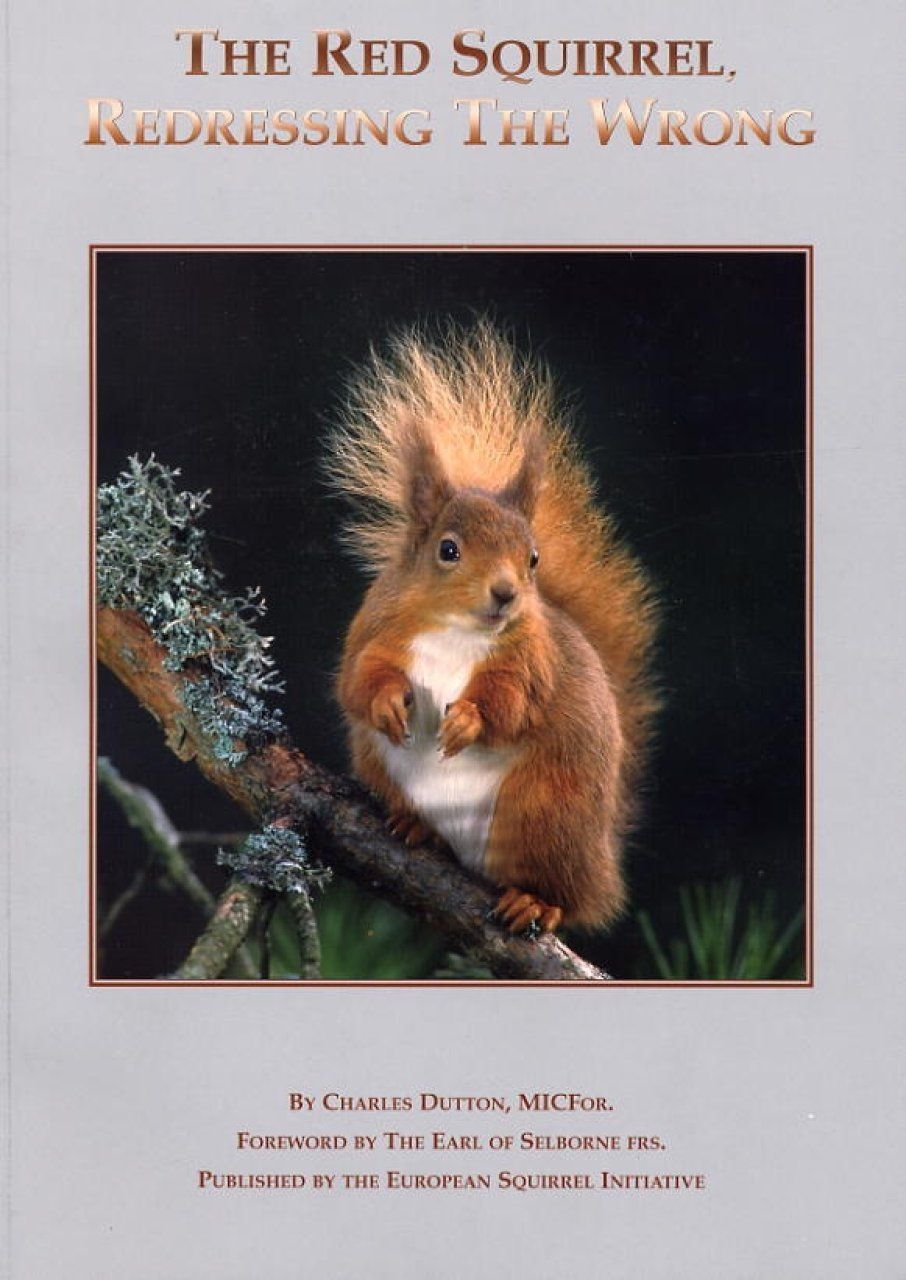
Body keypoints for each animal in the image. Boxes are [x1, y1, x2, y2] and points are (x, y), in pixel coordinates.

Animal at [326, 321, 658, 934]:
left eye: (533, 558)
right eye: (447, 550)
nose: (506, 594)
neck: (456, 629)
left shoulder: (532, 659)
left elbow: (513, 701)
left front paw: (468, 721)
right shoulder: (374, 630)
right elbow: (357, 682)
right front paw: (387, 703)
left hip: (546, 814)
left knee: (564, 892)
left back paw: (535, 901)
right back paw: (419, 828)